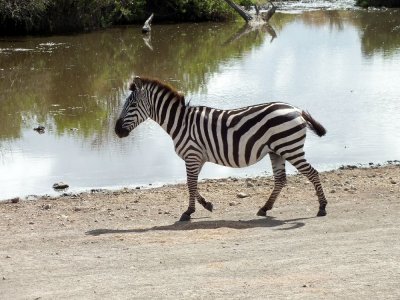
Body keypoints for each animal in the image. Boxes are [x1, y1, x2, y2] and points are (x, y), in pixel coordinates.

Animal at [114, 76, 326, 221]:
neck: (181, 122)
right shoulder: (197, 158)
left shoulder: (192, 155)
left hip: (290, 148)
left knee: (312, 173)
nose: (116, 130)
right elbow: (192, 184)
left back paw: (322, 207)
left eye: (132, 104)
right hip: (277, 151)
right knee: (281, 180)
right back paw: (265, 208)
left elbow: (190, 184)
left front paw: (188, 212)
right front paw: (206, 205)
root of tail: (296, 109)